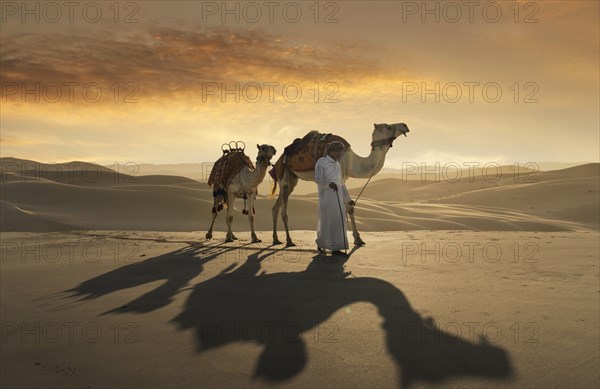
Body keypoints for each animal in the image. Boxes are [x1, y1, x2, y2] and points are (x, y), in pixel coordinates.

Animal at [270, 123, 408, 246]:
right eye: (389, 126)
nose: (405, 126)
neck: (351, 161)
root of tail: (278, 161)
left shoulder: (343, 179)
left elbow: (347, 206)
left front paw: (355, 238)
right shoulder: (339, 177)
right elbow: (349, 206)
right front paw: (357, 239)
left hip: (293, 179)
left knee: (276, 207)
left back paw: (276, 239)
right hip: (284, 178)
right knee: (283, 211)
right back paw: (289, 240)